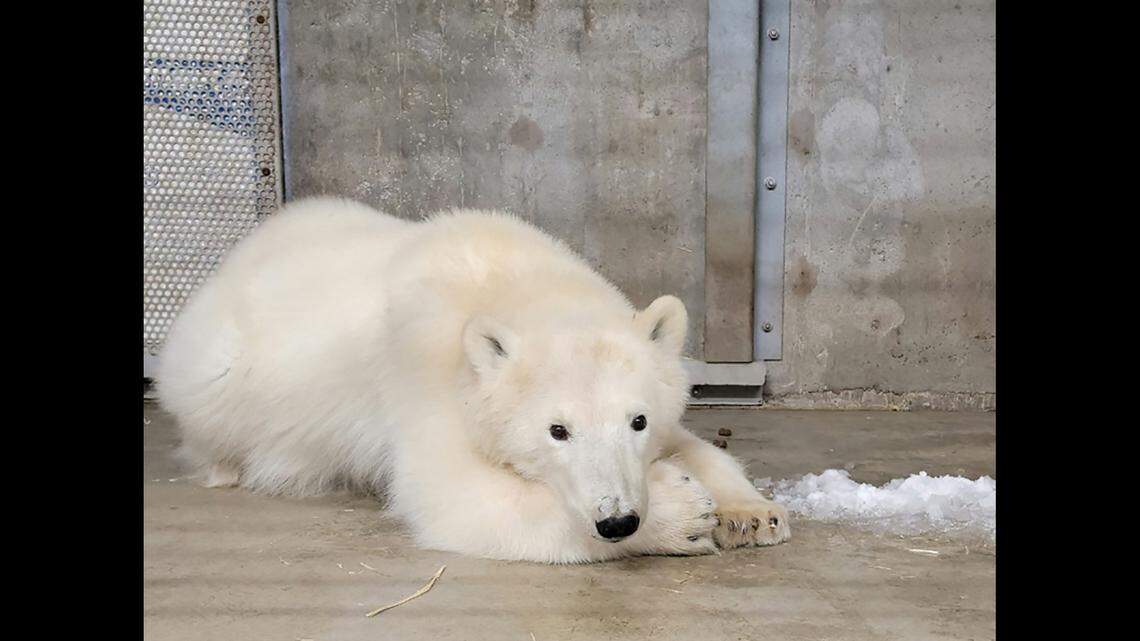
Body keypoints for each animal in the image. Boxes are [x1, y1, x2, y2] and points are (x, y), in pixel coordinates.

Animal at [156, 196, 790, 563]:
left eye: (637, 420)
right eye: (557, 430)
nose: (617, 519)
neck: (510, 280)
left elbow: (694, 443)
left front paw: (751, 514)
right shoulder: (426, 379)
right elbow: (456, 497)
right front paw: (682, 514)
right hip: (217, 376)